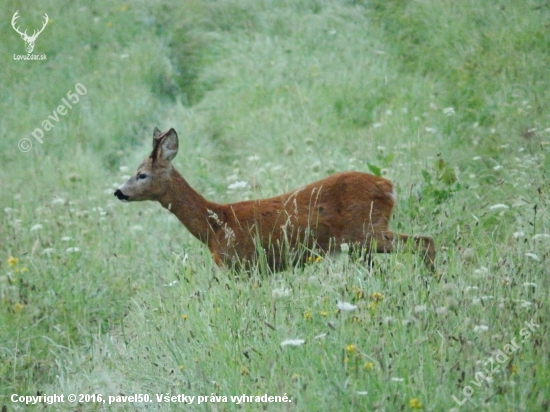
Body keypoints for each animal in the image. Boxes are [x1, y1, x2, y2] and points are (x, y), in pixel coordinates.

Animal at [115, 127, 436, 272]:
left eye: (142, 174)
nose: (119, 192)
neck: (214, 225)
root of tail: (388, 186)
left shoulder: (243, 265)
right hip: (362, 241)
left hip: (366, 231)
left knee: (424, 242)